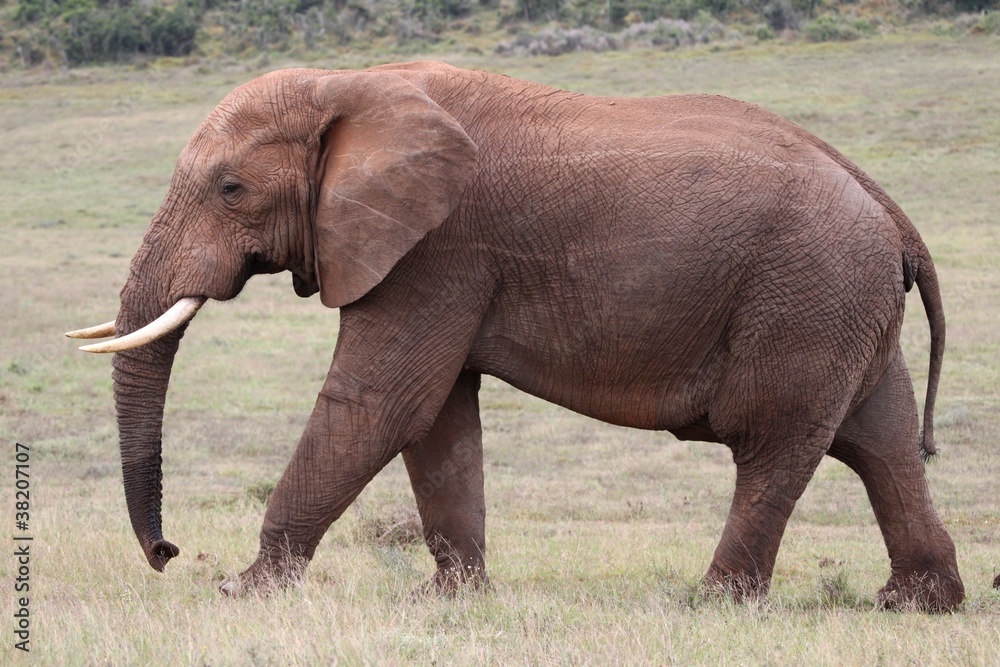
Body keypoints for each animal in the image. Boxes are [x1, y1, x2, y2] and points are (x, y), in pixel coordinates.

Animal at [67, 60, 963, 612]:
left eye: (230, 188)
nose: (170, 552)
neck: (353, 85)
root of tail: (893, 214)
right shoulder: (436, 259)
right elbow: (436, 420)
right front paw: (452, 599)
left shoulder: (437, 248)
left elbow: (382, 402)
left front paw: (244, 591)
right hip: (842, 304)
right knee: (880, 443)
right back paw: (916, 604)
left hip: (806, 300)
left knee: (776, 446)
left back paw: (712, 603)